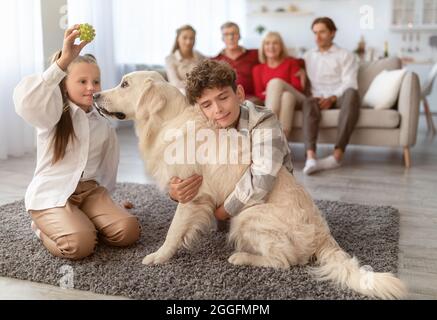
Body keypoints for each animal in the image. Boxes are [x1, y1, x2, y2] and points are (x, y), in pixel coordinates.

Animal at [93, 71, 408, 298]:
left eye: (124, 84)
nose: (95, 94)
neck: (169, 121)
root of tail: (323, 233)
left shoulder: (193, 196)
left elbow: (172, 232)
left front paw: (159, 257)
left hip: (247, 216)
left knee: (284, 261)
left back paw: (241, 257)